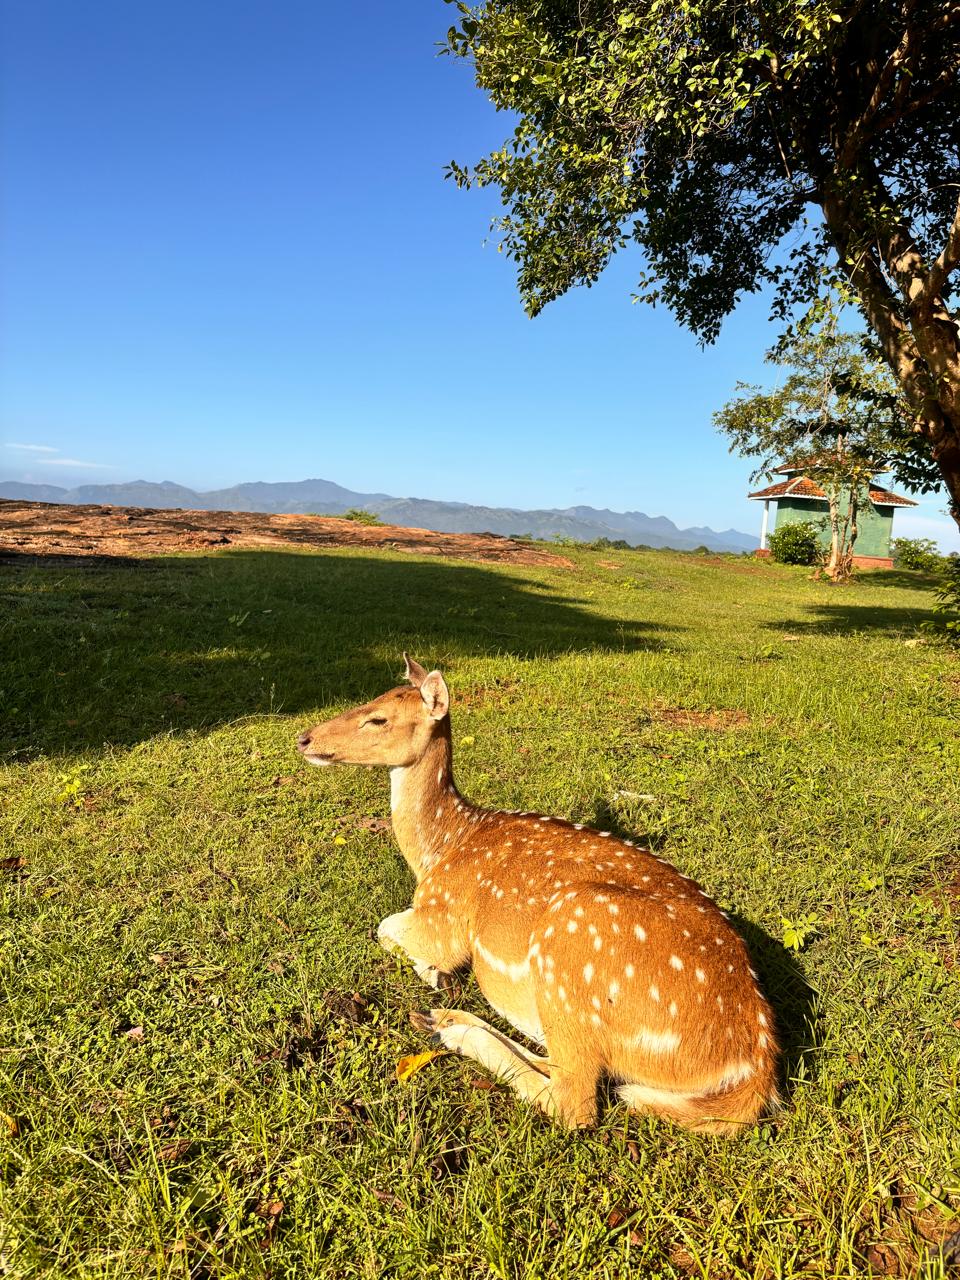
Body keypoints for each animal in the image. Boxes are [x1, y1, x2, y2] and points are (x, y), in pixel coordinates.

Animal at [296, 655, 780, 1134]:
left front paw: (437, 973)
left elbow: (386, 927)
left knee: (574, 1101)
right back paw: (440, 1019)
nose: (304, 738)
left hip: (571, 955)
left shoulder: (441, 917)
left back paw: (450, 1027)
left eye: (378, 718)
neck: (439, 851)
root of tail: (752, 1070)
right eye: (369, 698)